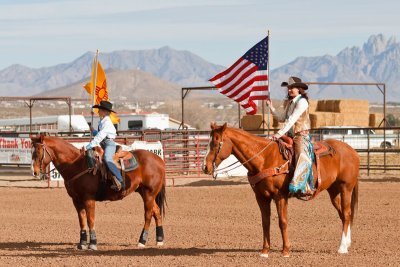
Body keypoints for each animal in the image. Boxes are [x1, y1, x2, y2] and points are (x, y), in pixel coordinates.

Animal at [30, 135, 166, 252]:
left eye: (38, 151)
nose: (34, 172)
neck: (76, 165)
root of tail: (159, 160)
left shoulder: (89, 199)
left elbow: (90, 220)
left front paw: (93, 244)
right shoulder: (76, 200)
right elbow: (82, 220)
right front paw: (82, 244)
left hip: (149, 193)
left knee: (148, 215)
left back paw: (142, 241)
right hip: (145, 193)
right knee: (157, 212)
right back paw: (159, 240)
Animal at [203, 123, 360, 258]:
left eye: (215, 143)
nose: (205, 167)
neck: (264, 158)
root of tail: (352, 150)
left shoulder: (280, 196)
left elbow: (282, 221)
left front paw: (285, 251)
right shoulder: (261, 197)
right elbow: (265, 222)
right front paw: (265, 251)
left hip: (346, 188)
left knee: (347, 214)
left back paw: (342, 248)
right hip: (333, 191)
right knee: (343, 215)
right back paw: (347, 243)